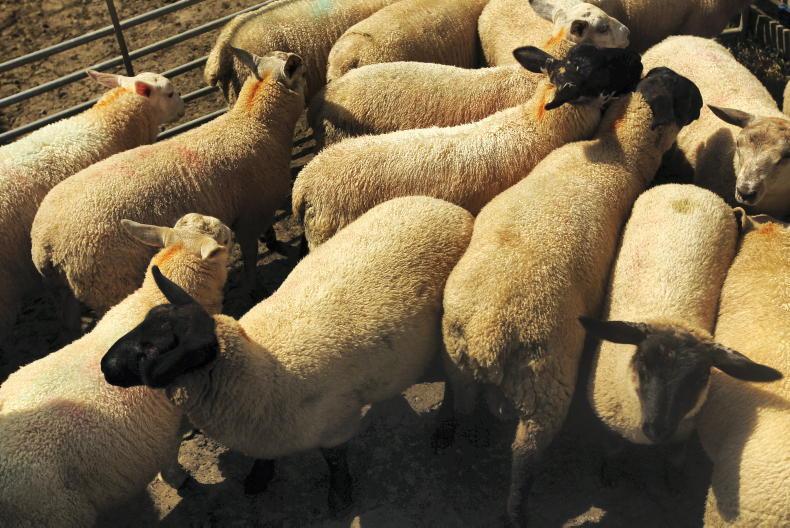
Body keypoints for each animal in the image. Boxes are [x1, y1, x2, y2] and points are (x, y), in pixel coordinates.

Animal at [0, 214, 231, 528]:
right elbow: (170, 453)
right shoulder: (171, 417)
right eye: (225, 240)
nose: (231, 230)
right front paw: (178, 478)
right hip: (53, 514)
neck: (150, 300)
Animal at [31, 48, 305, 316]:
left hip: (67, 294)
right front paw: (256, 286)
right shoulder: (251, 214)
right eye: (299, 71)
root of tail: (45, 244)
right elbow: (250, 257)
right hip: (111, 282)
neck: (254, 123)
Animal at [101, 196, 474, 515]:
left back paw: (445, 426)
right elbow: (266, 458)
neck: (262, 367)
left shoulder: (335, 423)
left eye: (155, 349)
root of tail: (447, 207)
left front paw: (339, 498)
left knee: (454, 381)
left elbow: (334, 461)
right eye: (146, 321)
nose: (105, 366)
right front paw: (259, 476)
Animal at [438, 67, 704, 526]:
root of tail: (487, 335)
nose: (704, 103)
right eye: (685, 94)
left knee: (464, 411)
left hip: (460, 369)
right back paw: (519, 513)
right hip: (547, 389)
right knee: (523, 460)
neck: (621, 149)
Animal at [580, 185, 779, 471]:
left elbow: (674, 463)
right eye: (643, 365)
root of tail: (690, 187)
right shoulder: (610, 429)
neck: (670, 315)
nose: (657, 430)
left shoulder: (680, 438)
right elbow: (613, 453)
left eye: (701, 377)